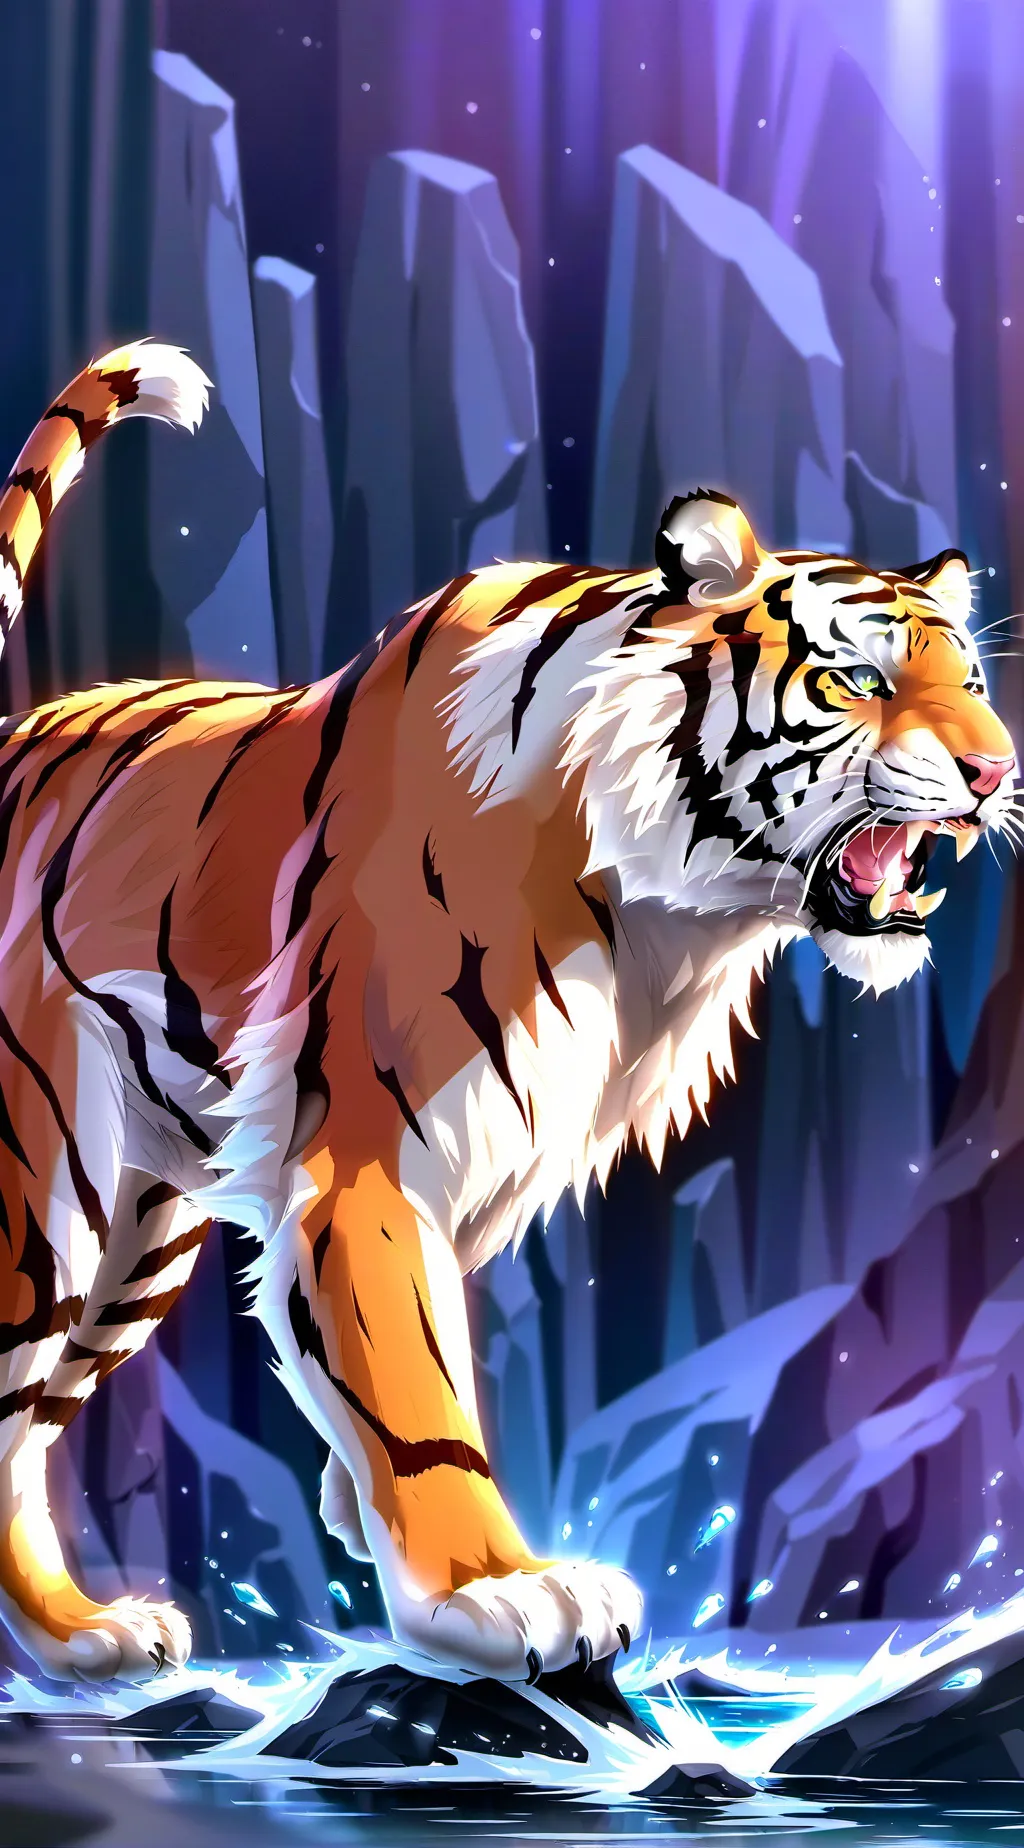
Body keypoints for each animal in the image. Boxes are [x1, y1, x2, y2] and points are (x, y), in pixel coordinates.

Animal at [0, 342, 1015, 1687]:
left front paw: (364, 1512)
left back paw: (84, 1634)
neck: (665, 910)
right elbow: (413, 1383)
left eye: (974, 682)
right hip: (36, 1194)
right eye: (858, 677)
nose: (997, 771)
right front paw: (493, 1590)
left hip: (133, 1229)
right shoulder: (365, 1145)